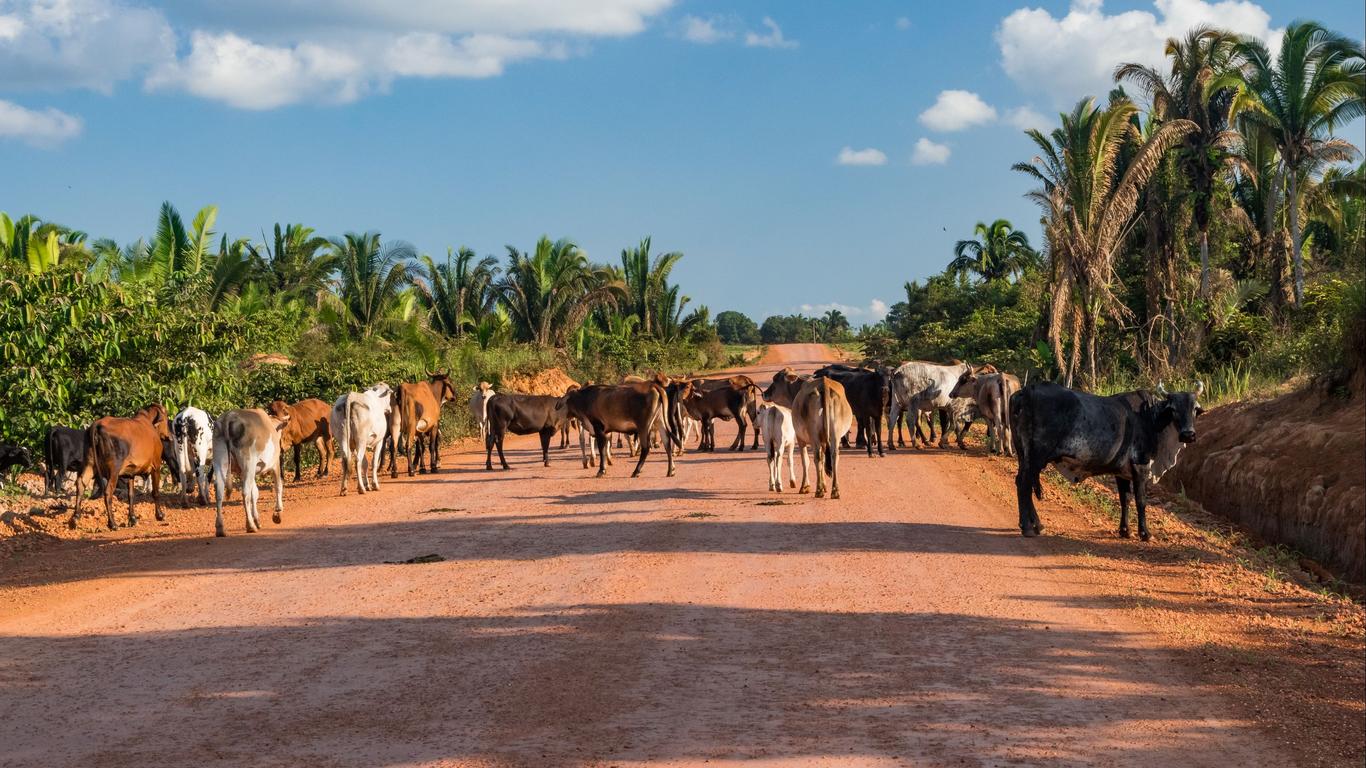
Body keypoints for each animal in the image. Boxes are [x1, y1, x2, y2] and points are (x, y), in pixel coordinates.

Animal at [211, 404, 289, 535]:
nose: (283, 446)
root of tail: (229, 416)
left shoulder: (247, 472)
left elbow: (255, 493)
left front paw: (257, 519)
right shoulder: (275, 464)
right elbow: (278, 486)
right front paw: (278, 513)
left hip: (220, 460)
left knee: (219, 491)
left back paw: (220, 528)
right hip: (248, 461)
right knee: (245, 492)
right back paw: (250, 525)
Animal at [1010, 377, 1202, 538]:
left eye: (1194, 409)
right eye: (1173, 409)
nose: (1188, 435)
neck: (1150, 417)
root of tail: (1027, 390)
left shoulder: (1122, 472)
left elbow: (1125, 499)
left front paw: (1124, 531)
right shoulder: (1141, 466)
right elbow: (1141, 500)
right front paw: (1145, 533)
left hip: (1023, 455)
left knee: (1021, 482)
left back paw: (1036, 525)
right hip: (1037, 456)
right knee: (1024, 484)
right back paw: (1028, 528)